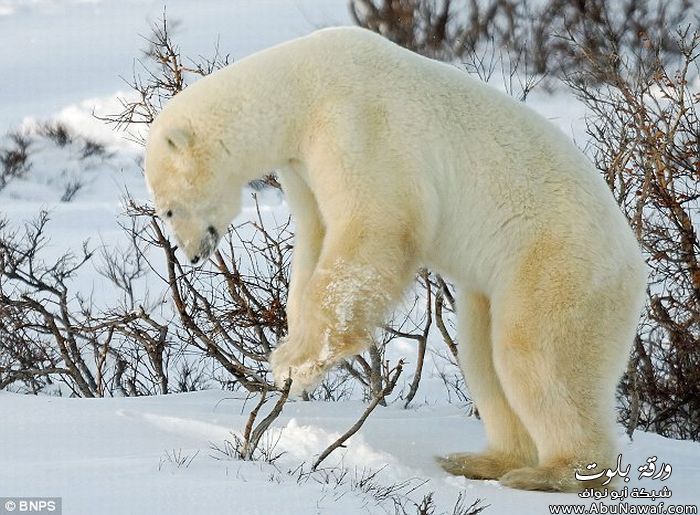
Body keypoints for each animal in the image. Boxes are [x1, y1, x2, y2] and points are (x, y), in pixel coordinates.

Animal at [142, 26, 644, 494]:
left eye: (168, 209)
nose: (192, 255)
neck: (301, 88)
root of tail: (635, 266)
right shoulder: (302, 165)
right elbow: (316, 238)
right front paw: (291, 350)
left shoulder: (356, 124)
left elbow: (374, 225)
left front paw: (294, 364)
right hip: (500, 284)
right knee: (481, 353)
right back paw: (481, 460)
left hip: (556, 262)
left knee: (535, 353)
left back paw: (554, 473)